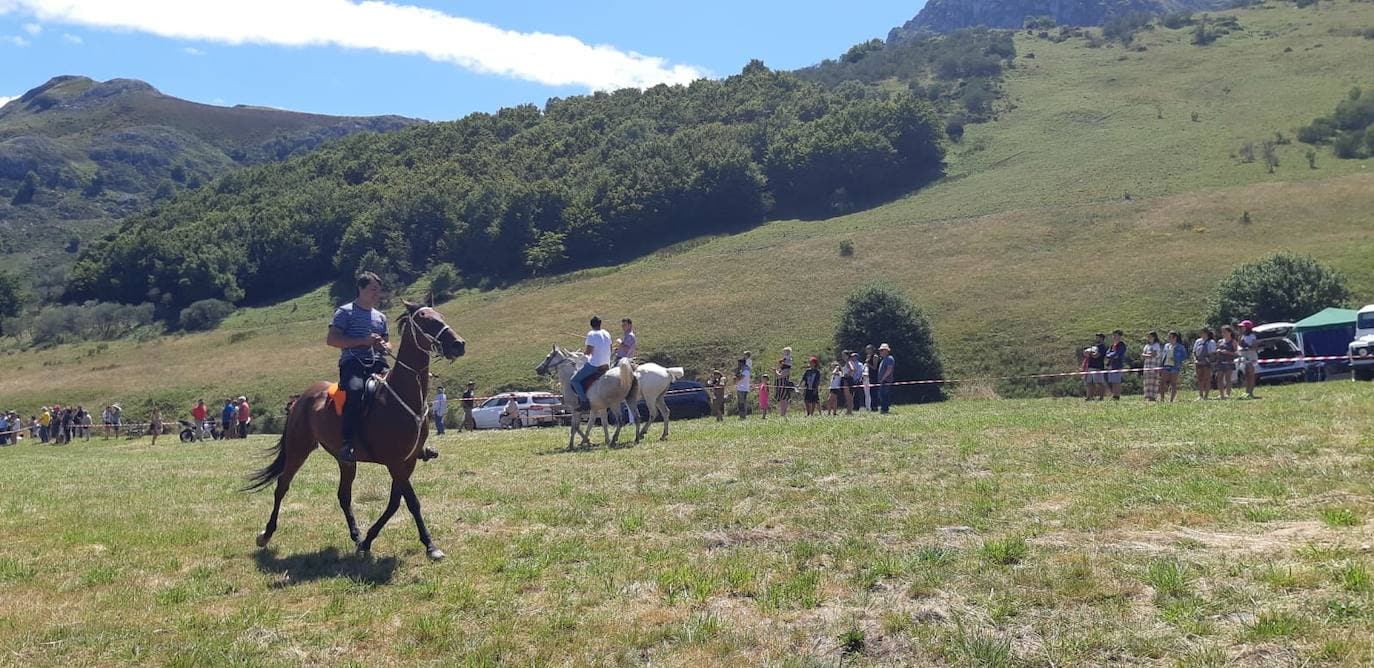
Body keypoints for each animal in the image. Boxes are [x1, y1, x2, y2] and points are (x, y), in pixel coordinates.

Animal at [244, 301, 464, 558]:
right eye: (425, 320)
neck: (401, 396)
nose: (458, 344)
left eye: (441, 316)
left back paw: (357, 535)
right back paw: (266, 534)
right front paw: (431, 546)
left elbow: (394, 502)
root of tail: (301, 399)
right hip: (299, 449)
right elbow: (411, 502)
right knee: (282, 486)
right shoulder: (395, 462)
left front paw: (367, 540)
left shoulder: (407, 462)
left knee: (343, 496)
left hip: (345, 460)